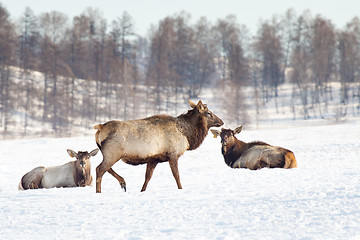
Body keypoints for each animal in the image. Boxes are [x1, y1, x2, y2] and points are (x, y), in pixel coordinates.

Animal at [93, 99, 222, 193]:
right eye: (209, 113)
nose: (221, 121)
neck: (187, 135)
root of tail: (100, 128)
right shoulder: (173, 154)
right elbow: (177, 175)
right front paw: (181, 189)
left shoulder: (153, 159)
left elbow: (147, 178)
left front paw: (142, 191)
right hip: (113, 153)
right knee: (100, 169)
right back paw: (99, 191)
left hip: (109, 154)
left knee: (105, 168)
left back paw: (123, 182)